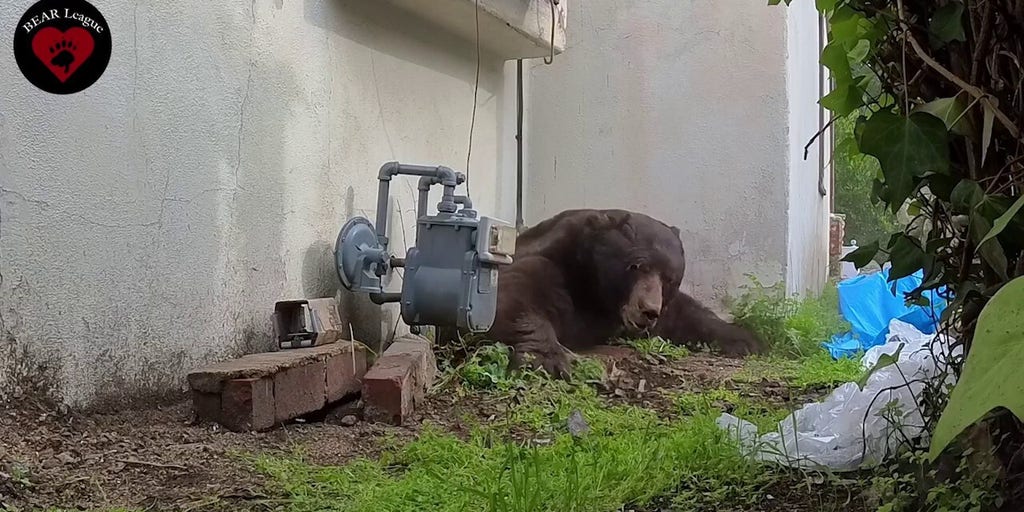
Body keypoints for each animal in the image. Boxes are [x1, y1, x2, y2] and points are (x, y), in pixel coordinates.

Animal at [485, 208, 764, 379]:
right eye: (636, 266)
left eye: (669, 277)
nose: (648, 310)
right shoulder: (550, 268)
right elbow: (513, 297)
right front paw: (548, 360)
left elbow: (685, 314)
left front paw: (745, 339)